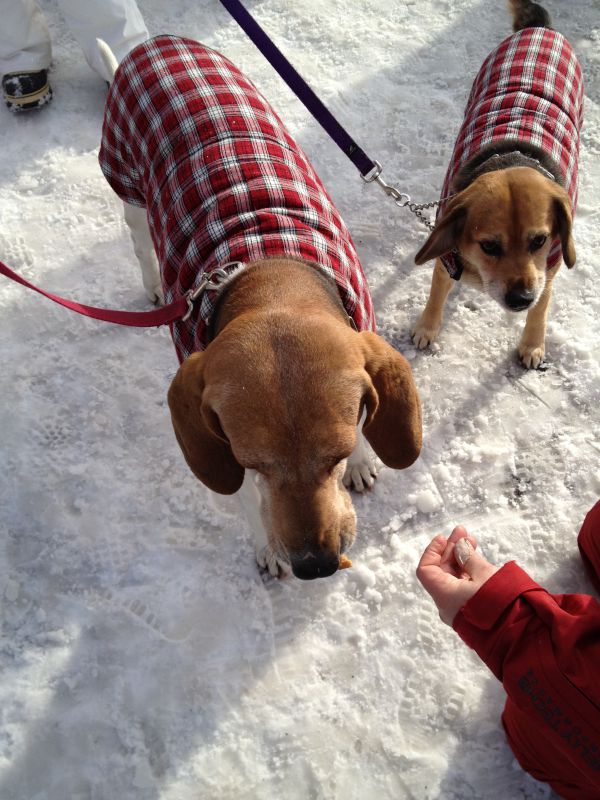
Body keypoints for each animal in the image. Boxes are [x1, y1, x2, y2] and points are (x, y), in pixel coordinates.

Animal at [97, 36, 422, 580]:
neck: (273, 276)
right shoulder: (221, 443)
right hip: (128, 190)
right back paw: (153, 286)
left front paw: (361, 460)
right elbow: (249, 500)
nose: (316, 565)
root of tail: (152, 44)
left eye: (335, 454)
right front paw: (268, 548)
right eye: (254, 463)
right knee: (141, 244)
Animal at [412, 0, 583, 369]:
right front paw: (426, 328)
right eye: (489, 246)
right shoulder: (446, 259)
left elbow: (541, 311)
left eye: (539, 240)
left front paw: (532, 344)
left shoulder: (546, 272)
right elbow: (436, 295)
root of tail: (539, 29)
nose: (520, 299)